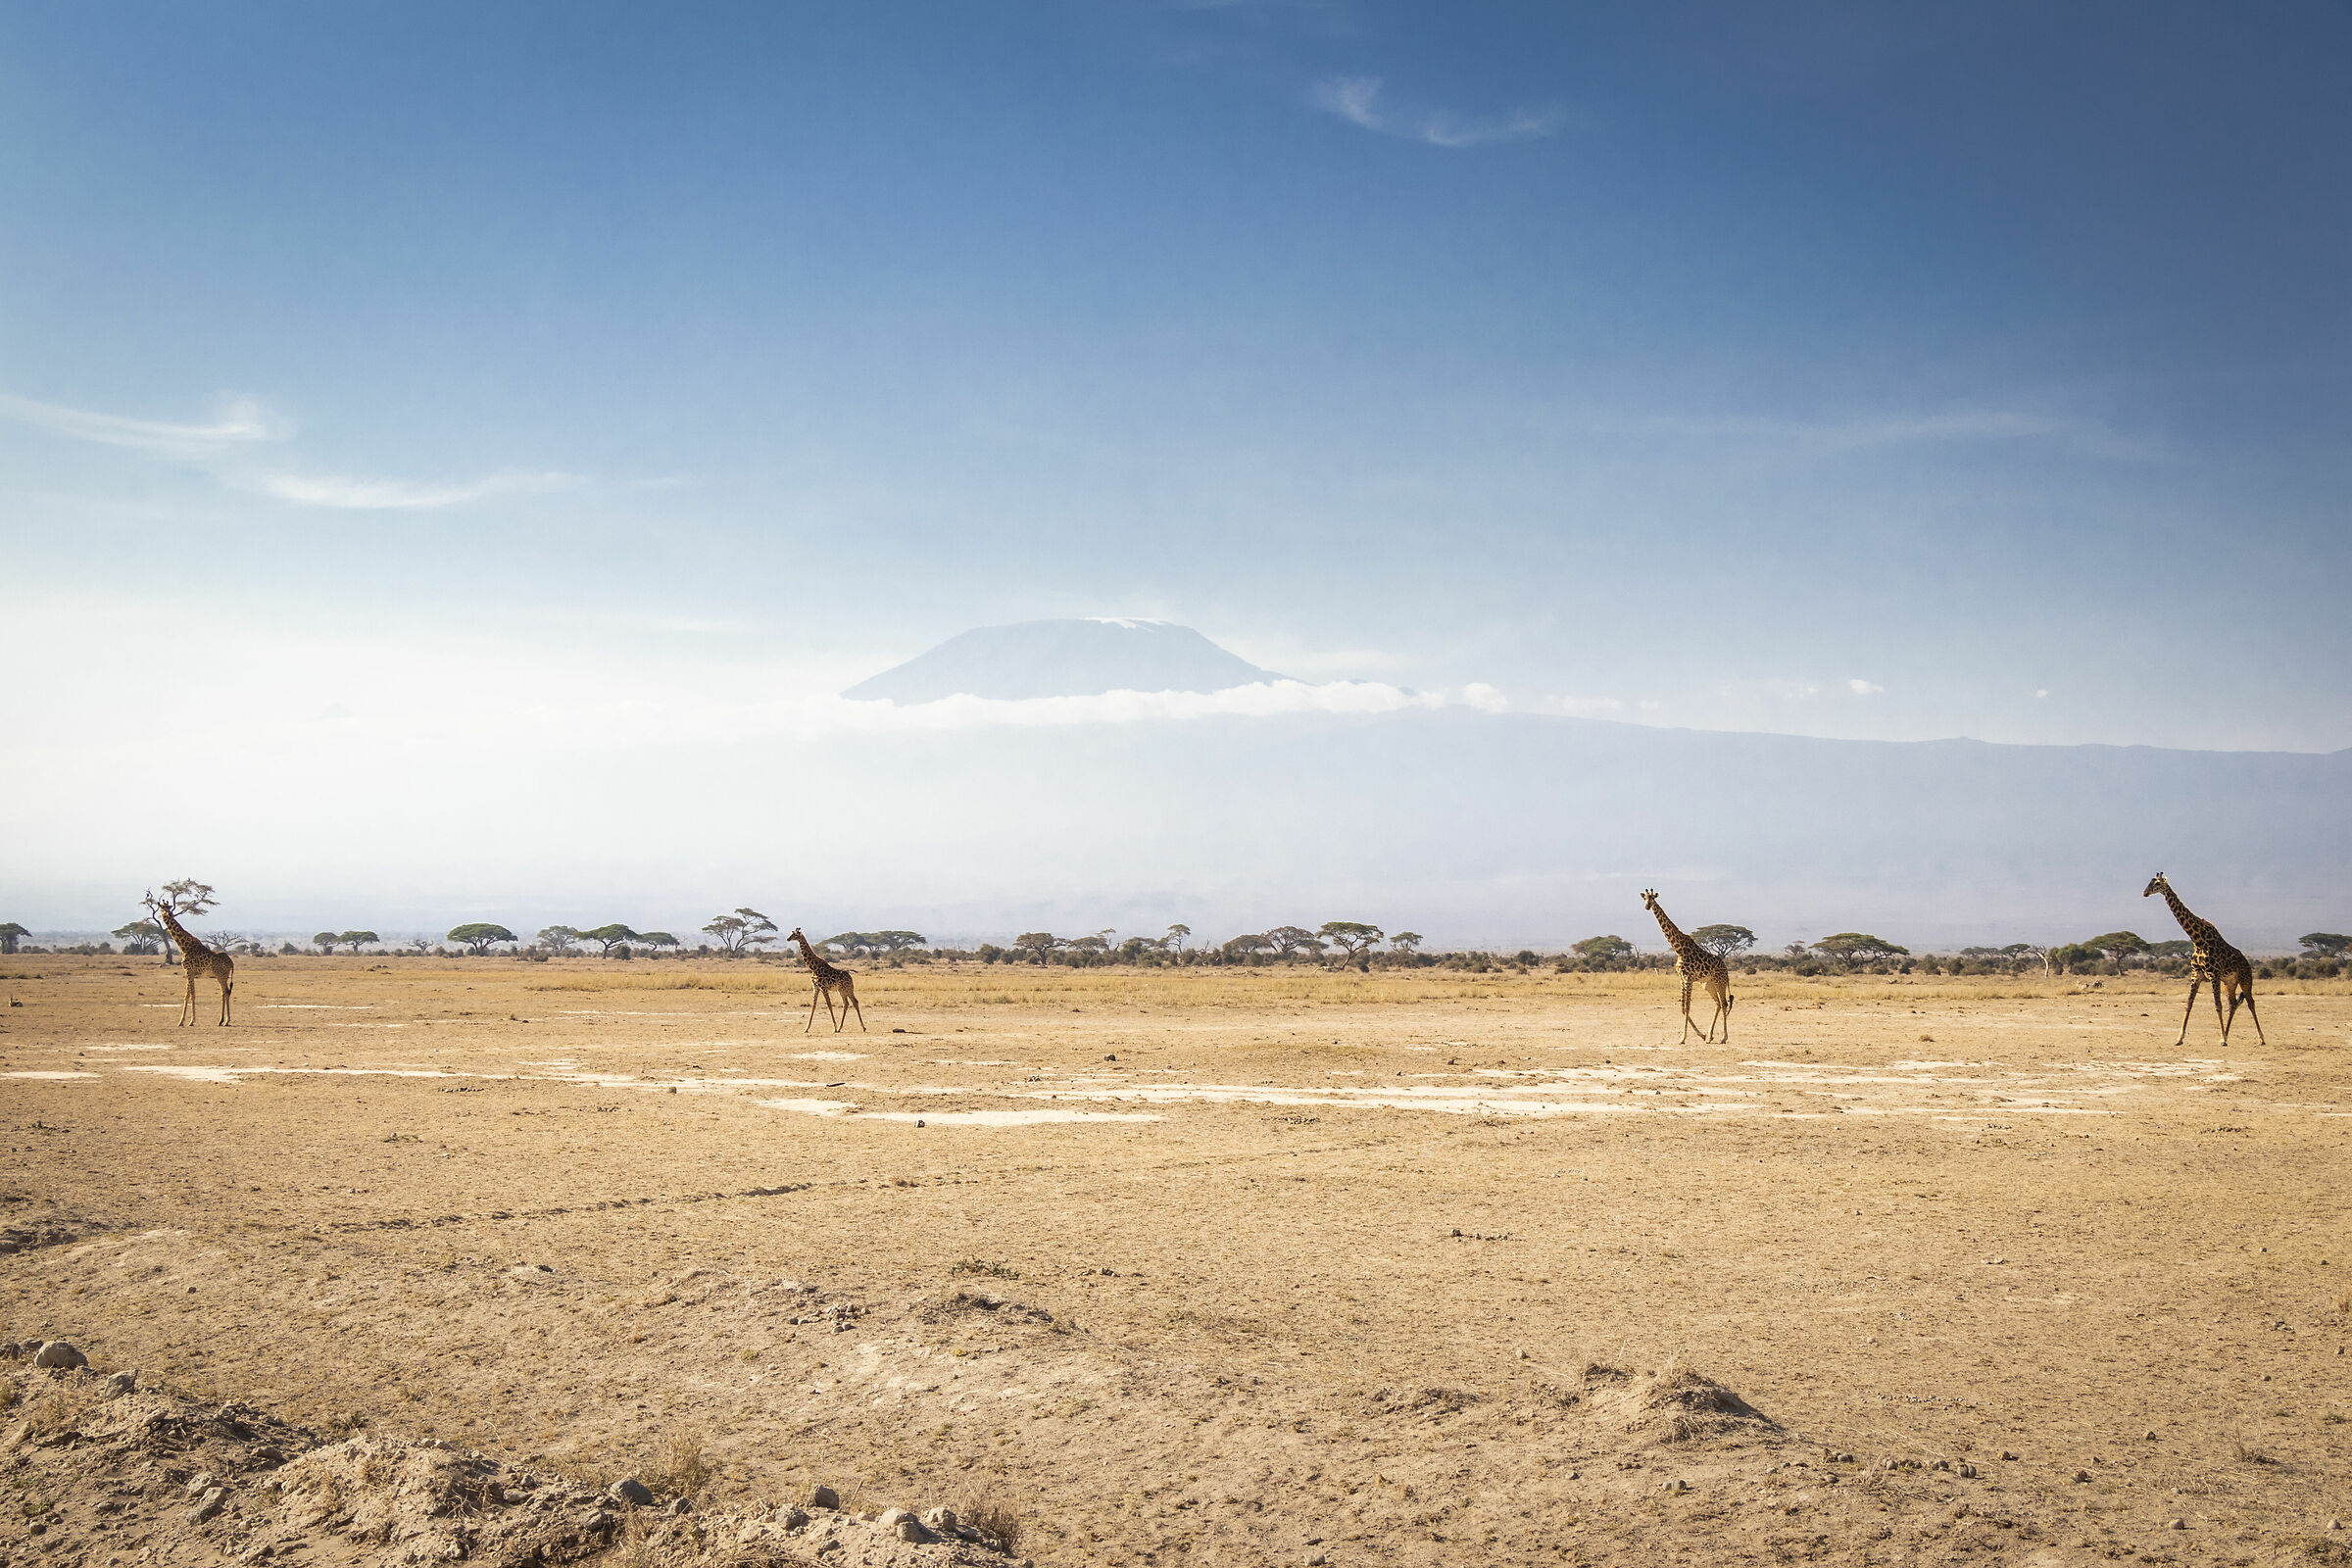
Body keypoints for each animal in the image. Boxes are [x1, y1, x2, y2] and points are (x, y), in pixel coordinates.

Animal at [147, 892, 234, 1026]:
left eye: (168, 908)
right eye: (162, 908)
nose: (169, 914)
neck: (184, 946)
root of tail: (231, 962)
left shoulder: (189, 971)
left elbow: (192, 995)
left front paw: (191, 1021)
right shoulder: (189, 973)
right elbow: (187, 995)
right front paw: (182, 1021)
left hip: (221, 975)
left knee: (226, 992)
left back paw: (226, 1021)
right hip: (221, 976)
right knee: (224, 993)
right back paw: (221, 1020)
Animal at [1641, 889, 1733, 1043]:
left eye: (1653, 898)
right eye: (1645, 898)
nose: (1647, 906)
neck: (1679, 948)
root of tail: (1725, 969)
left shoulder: (1688, 978)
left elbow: (1688, 1007)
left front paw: (1683, 1038)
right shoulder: (1681, 979)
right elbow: (1682, 1008)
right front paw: (1701, 1035)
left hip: (1719, 981)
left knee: (1725, 1003)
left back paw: (1724, 1038)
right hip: (1708, 984)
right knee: (1718, 1004)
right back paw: (1710, 1036)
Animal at [2144, 873, 2264, 1047]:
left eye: (2157, 884)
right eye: (2150, 882)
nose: (2144, 893)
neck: (2198, 939)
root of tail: (2247, 962)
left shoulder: (2213, 974)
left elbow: (2217, 1005)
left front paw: (2222, 1039)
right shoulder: (2196, 973)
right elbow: (2188, 1004)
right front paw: (2179, 1038)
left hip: (2245, 978)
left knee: (2250, 1002)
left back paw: (2260, 1038)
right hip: (2229, 982)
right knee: (2233, 1003)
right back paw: (2226, 1034)